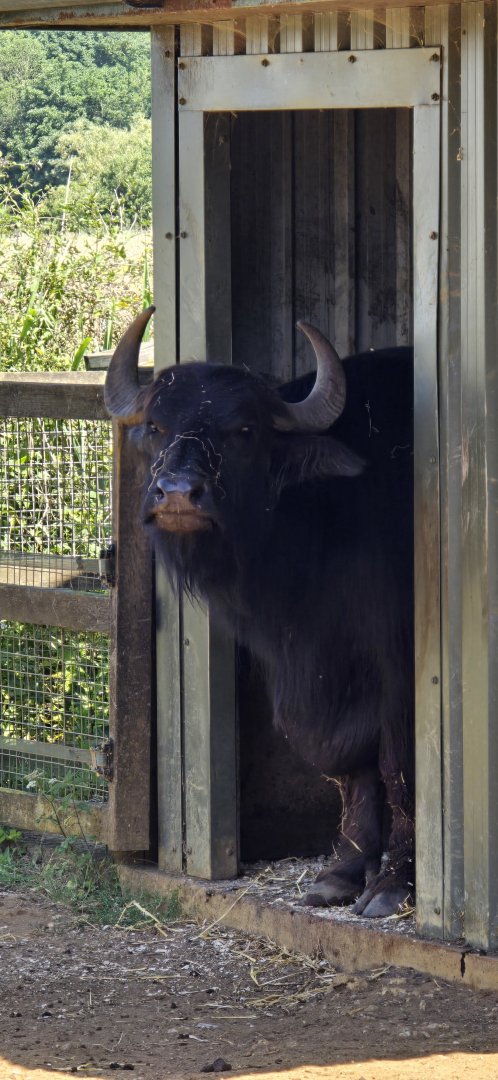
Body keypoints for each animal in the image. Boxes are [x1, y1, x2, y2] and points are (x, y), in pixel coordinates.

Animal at [105, 306, 414, 917]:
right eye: (156, 426)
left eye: (244, 430)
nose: (178, 494)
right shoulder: (310, 671)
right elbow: (347, 761)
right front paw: (343, 872)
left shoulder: (401, 669)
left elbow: (396, 764)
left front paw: (392, 882)